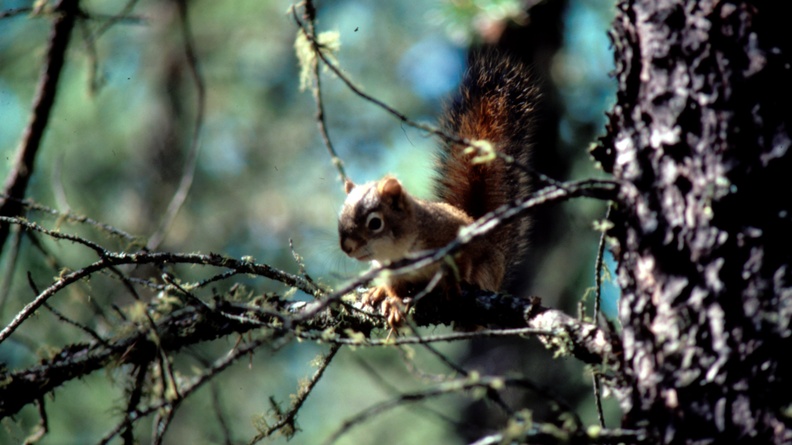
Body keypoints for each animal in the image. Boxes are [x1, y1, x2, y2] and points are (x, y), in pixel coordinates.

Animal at [338, 51, 537, 328]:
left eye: (375, 223)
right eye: (339, 218)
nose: (346, 247)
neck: (401, 250)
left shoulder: (452, 239)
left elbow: (458, 268)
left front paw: (450, 288)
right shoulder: (390, 271)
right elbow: (394, 288)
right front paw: (392, 301)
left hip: (488, 269)